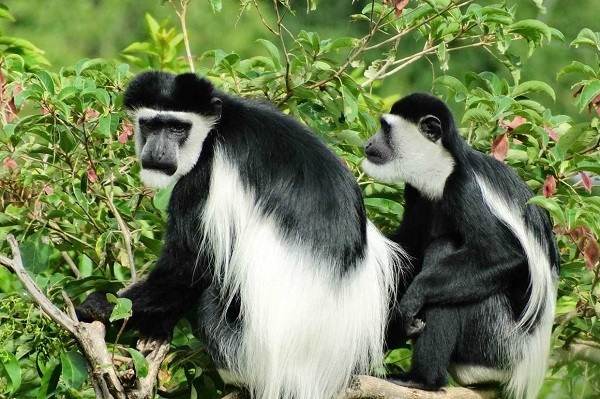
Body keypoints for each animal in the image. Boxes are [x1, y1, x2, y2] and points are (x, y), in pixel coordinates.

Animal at [76, 71, 404, 399]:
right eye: (151, 125)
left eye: (177, 128)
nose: (157, 152)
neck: (217, 127)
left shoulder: (203, 177)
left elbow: (188, 267)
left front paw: (102, 307)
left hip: (250, 350)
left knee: (211, 298)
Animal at [360, 93, 564, 399]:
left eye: (385, 129)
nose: (368, 144)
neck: (442, 170)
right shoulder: (417, 192)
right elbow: (408, 249)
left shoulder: (464, 188)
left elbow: (503, 256)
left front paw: (413, 299)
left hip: (495, 340)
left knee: (447, 260)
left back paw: (423, 379)